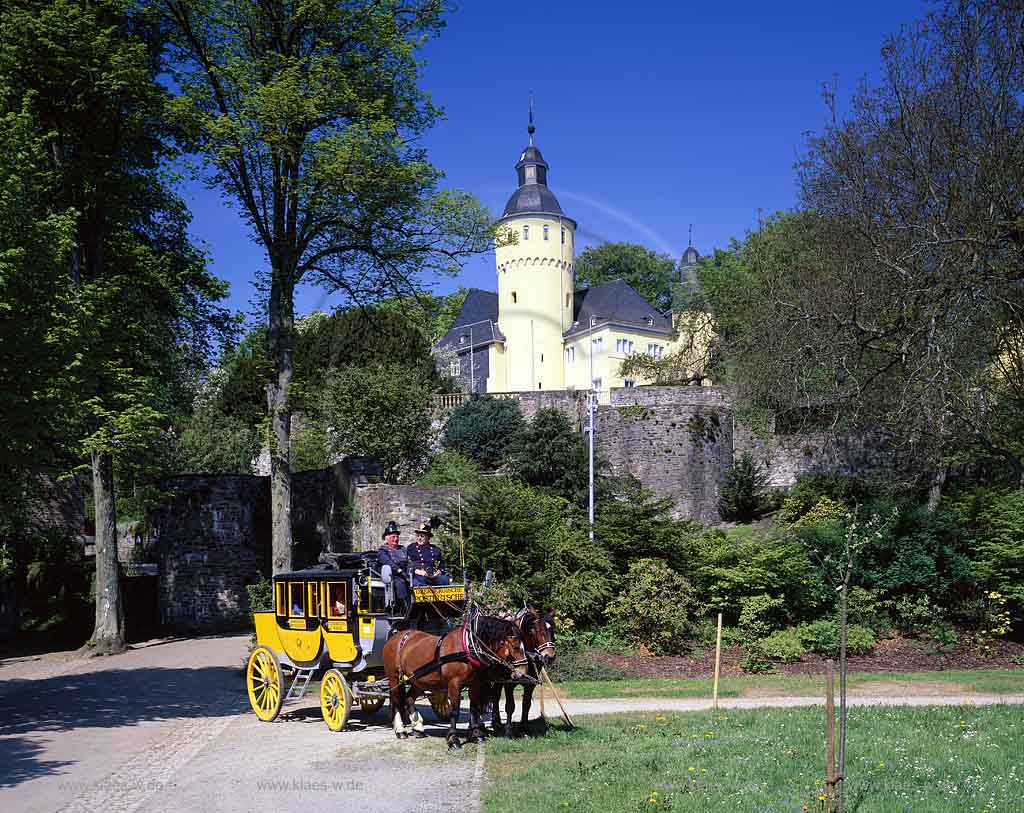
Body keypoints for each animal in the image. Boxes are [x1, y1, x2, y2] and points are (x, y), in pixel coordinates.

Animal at [382, 606, 528, 749]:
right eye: (516, 647)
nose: (522, 673)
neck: (468, 646)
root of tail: (397, 636)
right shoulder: (454, 684)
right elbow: (454, 711)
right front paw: (453, 739)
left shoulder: (475, 684)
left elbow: (474, 709)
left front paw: (477, 735)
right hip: (394, 677)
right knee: (396, 700)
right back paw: (400, 730)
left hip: (418, 680)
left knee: (409, 698)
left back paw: (418, 728)